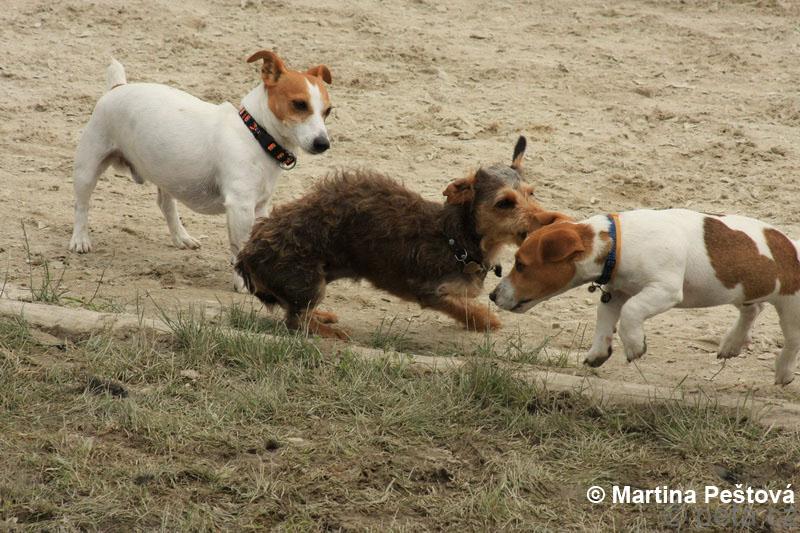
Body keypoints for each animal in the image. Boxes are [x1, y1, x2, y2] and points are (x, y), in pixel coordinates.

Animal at [68, 51, 333, 290]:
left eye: (328, 111)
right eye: (299, 104)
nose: (323, 143)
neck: (255, 134)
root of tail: (117, 87)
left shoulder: (260, 207)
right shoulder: (240, 207)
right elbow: (240, 247)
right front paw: (243, 283)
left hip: (169, 173)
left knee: (165, 204)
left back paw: (181, 237)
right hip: (88, 167)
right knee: (82, 205)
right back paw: (80, 239)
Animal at [235, 137, 560, 339]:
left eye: (531, 194)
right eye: (505, 203)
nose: (549, 220)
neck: (456, 240)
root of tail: (247, 256)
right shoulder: (429, 290)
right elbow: (465, 308)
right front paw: (485, 321)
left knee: (296, 313)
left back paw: (322, 317)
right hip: (308, 280)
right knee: (295, 321)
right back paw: (329, 332)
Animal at [490, 208, 800, 385]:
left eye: (521, 265)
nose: (492, 295)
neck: (616, 243)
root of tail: (791, 246)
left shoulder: (663, 290)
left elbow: (631, 312)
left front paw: (634, 346)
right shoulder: (615, 293)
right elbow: (605, 319)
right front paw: (598, 352)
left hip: (790, 306)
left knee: (792, 340)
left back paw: (783, 372)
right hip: (741, 287)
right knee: (752, 310)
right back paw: (733, 343)